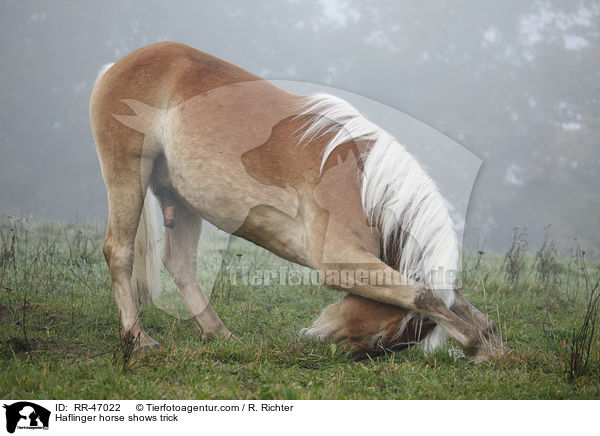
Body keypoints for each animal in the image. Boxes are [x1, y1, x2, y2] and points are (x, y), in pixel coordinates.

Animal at [90, 40, 502, 362]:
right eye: (381, 339)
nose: (311, 340)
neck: (363, 184)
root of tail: (117, 67)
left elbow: (452, 299)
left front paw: (489, 342)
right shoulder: (339, 262)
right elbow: (424, 295)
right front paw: (474, 344)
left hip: (183, 199)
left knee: (180, 265)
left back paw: (221, 336)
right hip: (127, 173)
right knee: (119, 252)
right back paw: (139, 340)